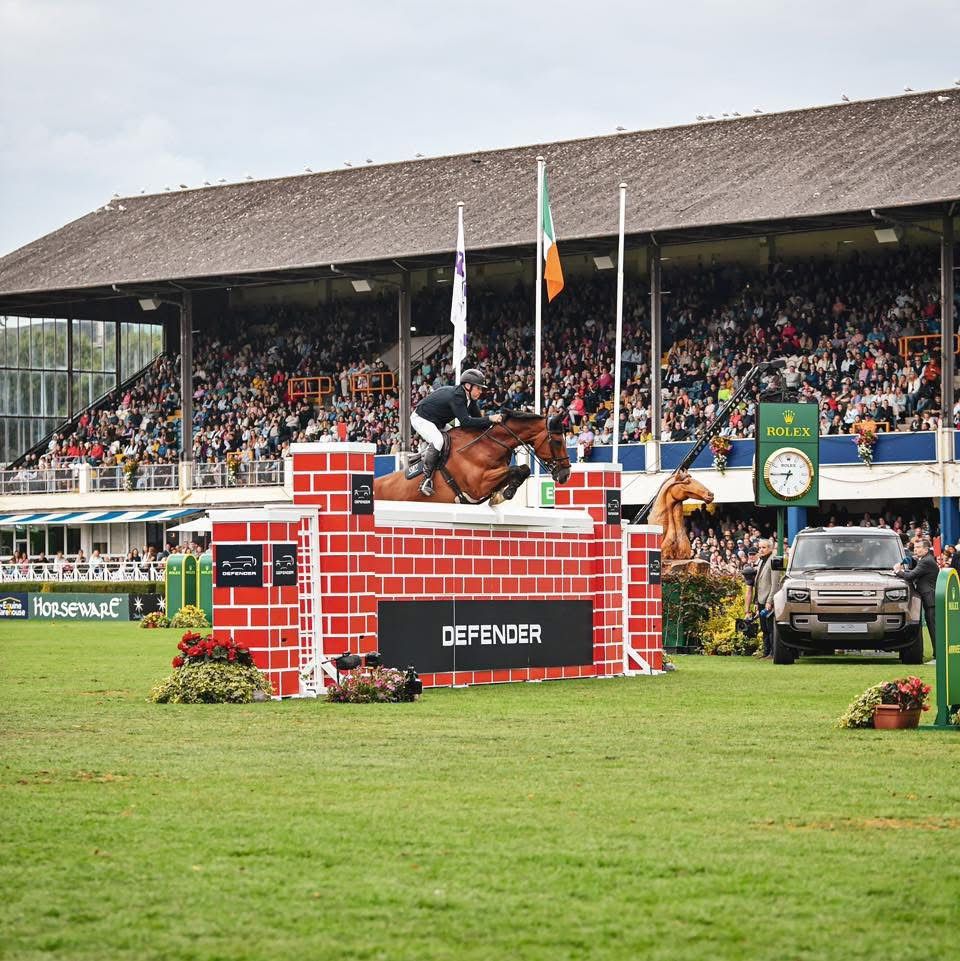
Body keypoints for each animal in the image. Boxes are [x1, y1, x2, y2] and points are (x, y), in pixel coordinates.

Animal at [374, 410, 568, 506]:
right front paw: (506, 493)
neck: (487, 446)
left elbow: (523, 470)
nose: (565, 475)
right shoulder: (478, 485)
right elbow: (516, 469)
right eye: (558, 442)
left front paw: (501, 495)